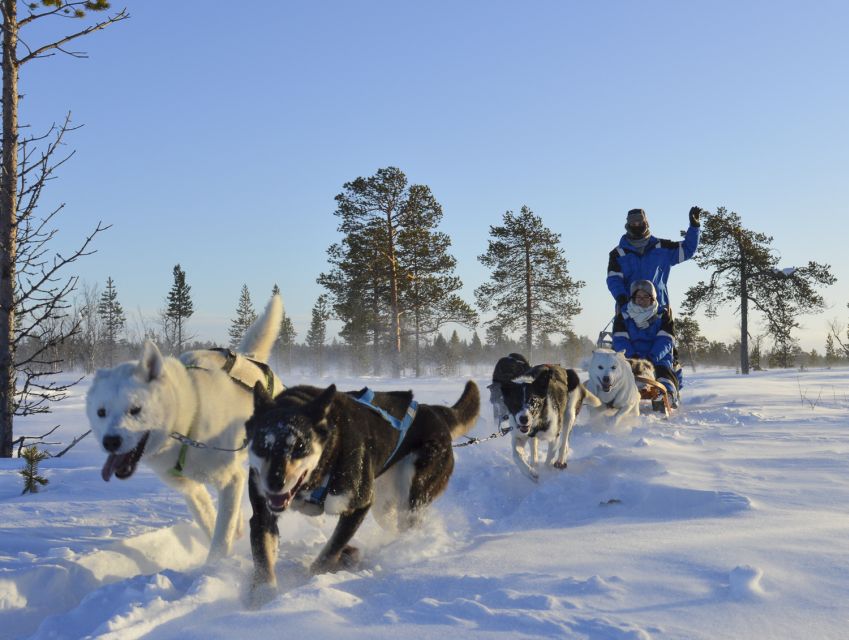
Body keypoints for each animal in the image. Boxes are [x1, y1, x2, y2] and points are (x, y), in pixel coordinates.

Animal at [86, 296, 284, 560]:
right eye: (101, 412)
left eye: (135, 409)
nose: (110, 441)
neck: (188, 421)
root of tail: (250, 358)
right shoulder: (191, 489)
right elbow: (210, 521)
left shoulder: (229, 479)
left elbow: (221, 533)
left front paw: (215, 566)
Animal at [243, 380, 476, 604]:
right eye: (263, 445)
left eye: (300, 446)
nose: (274, 483)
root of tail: (433, 411)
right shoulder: (263, 515)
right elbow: (263, 557)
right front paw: (263, 597)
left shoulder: (358, 505)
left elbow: (330, 551)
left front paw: (309, 580)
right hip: (383, 505)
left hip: (412, 494)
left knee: (410, 524)